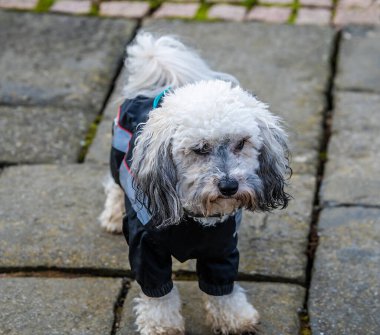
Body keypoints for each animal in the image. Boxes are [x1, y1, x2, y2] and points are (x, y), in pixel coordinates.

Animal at [98, 33, 290, 335]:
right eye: (199, 149)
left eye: (241, 143)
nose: (229, 186)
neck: (195, 218)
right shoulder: (146, 249)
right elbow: (159, 294)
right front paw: (162, 325)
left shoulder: (222, 248)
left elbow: (222, 289)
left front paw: (234, 318)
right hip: (117, 158)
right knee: (115, 186)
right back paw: (114, 216)